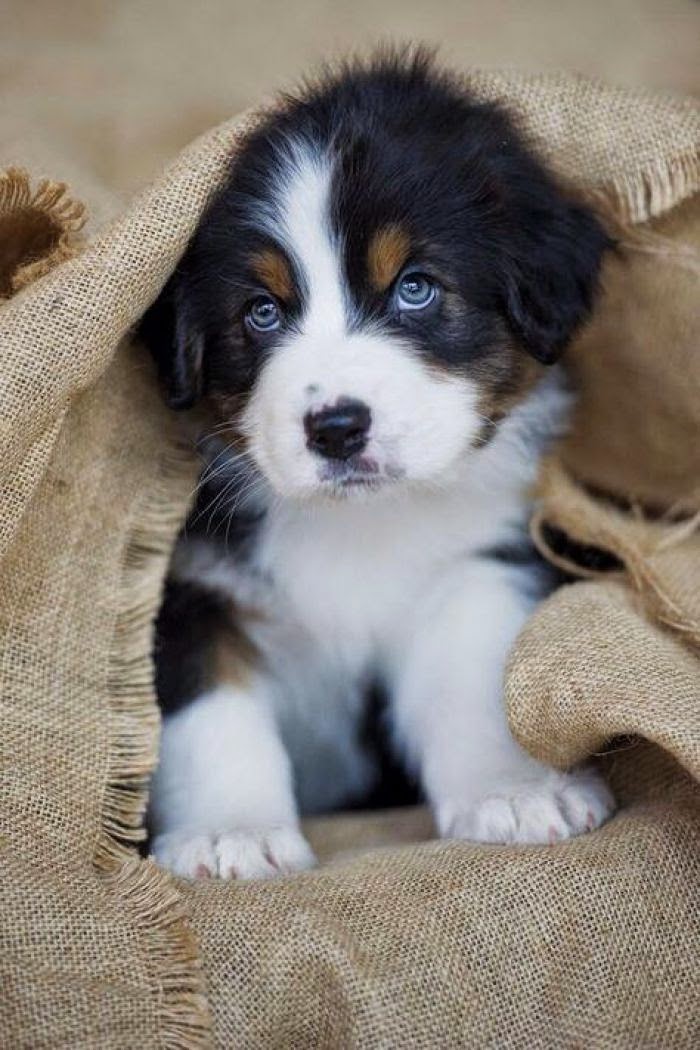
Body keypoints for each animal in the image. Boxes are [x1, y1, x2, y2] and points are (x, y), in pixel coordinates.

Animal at [142, 53, 612, 881]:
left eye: (415, 287)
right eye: (261, 311)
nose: (336, 429)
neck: (360, 526)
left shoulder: (478, 560)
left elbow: (474, 680)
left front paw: (517, 790)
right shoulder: (193, 587)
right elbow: (211, 714)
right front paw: (230, 834)